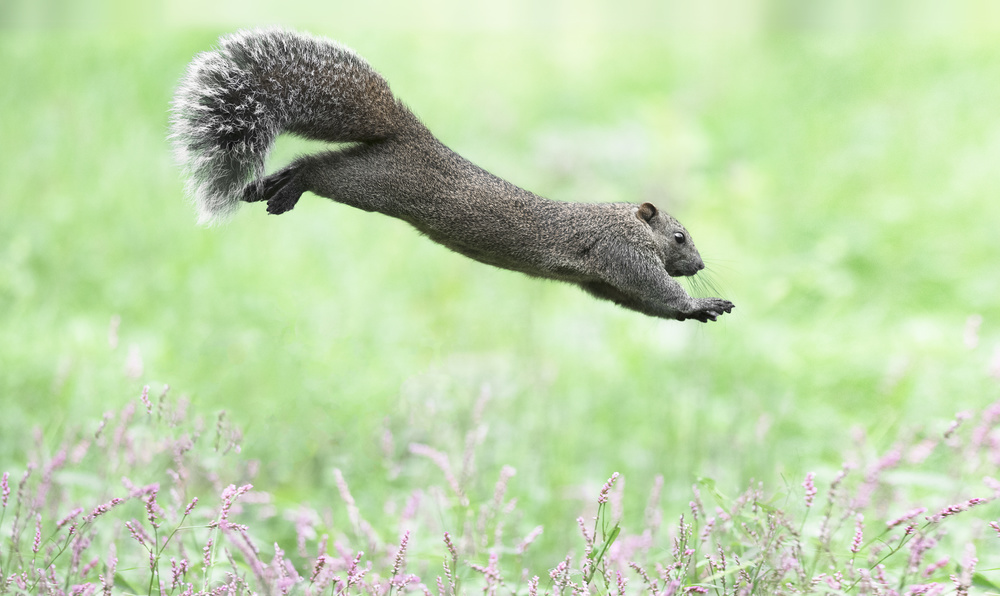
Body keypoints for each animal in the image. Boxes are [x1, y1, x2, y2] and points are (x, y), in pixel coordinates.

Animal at [170, 29, 736, 322]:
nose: (700, 263)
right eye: (679, 236)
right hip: (377, 181)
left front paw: (693, 312)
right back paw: (289, 187)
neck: (622, 220)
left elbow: (635, 301)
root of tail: (410, 133)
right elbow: (652, 287)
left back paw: (270, 186)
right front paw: (700, 300)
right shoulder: (620, 252)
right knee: (319, 170)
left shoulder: (601, 279)